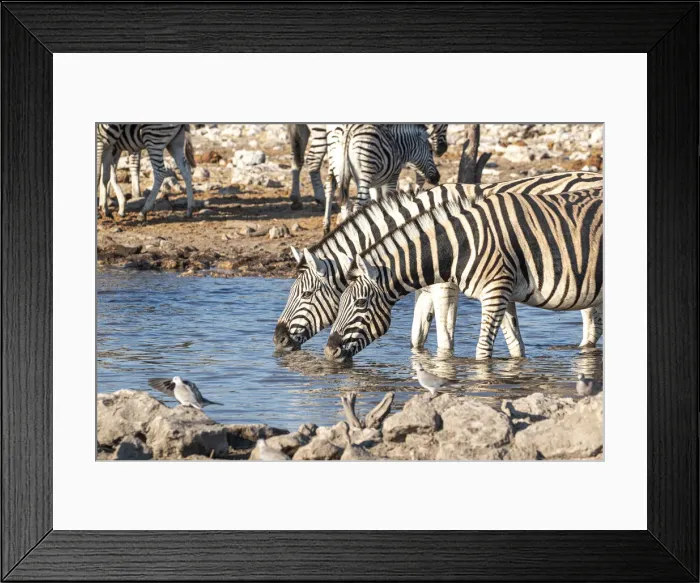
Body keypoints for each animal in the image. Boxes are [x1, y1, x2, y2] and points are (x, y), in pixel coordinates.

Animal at [273, 172, 603, 356]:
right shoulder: (425, 288)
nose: (278, 340)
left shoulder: (445, 287)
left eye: (305, 294)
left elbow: (445, 340)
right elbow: (417, 337)